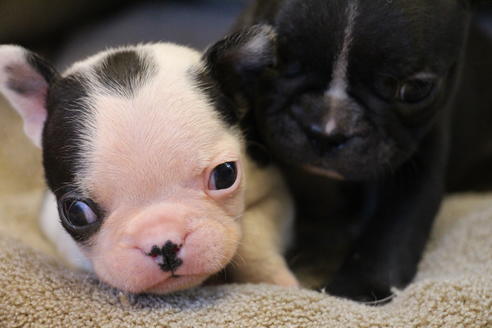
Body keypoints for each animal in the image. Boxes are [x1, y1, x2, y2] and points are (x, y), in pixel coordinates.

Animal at [0, 41, 296, 294]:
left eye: (225, 175)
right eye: (77, 212)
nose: (163, 244)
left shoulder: (272, 191)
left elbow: (253, 238)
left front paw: (276, 281)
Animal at [201, 0, 492, 302]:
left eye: (415, 89)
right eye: (276, 62)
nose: (327, 132)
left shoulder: (422, 156)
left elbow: (398, 226)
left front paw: (358, 290)